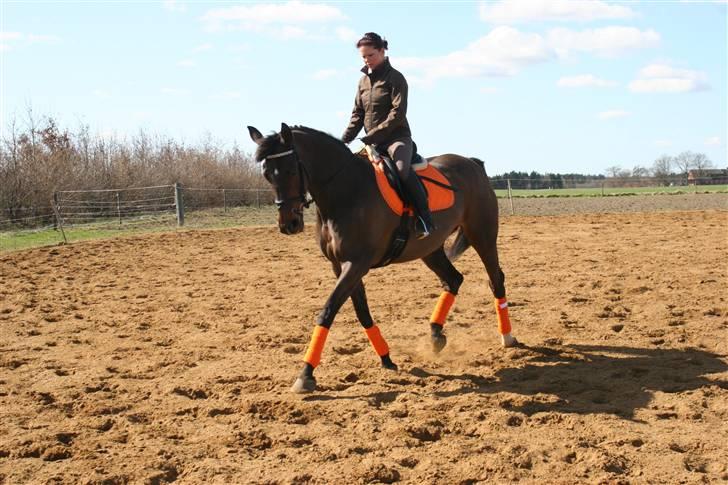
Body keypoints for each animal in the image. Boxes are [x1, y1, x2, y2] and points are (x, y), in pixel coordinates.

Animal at [250, 123, 516, 392]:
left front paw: (306, 374)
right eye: (267, 174)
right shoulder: (340, 266)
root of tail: (473, 163)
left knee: (496, 279)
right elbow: (362, 312)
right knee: (453, 280)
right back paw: (436, 336)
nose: (289, 224)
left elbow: (328, 310)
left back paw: (507, 337)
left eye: (291, 170)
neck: (345, 192)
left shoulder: (356, 264)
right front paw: (386, 359)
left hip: (482, 235)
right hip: (430, 249)